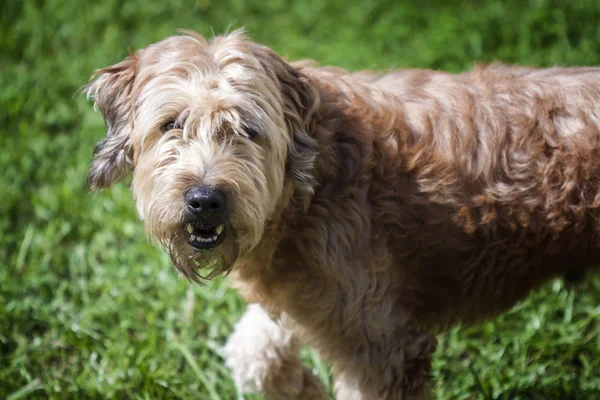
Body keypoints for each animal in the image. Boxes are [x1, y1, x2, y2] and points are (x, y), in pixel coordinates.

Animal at [84, 29, 600, 398]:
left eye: (248, 130)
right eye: (171, 124)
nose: (205, 198)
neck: (310, 188)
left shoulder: (382, 344)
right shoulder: (310, 300)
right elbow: (252, 354)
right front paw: (305, 388)